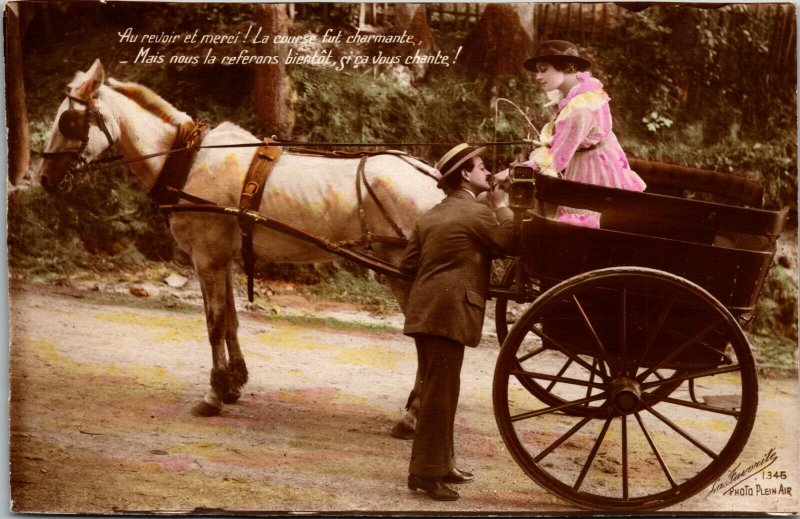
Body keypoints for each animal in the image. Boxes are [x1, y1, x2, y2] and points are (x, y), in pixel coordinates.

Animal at [37, 59, 440, 420]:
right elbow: (230, 319)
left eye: (68, 120)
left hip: (403, 272)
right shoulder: (224, 257)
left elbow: (214, 323)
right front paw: (234, 383)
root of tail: (434, 178)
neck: (187, 161)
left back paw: (414, 414)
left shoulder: (206, 257)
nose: (44, 177)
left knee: (425, 338)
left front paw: (214, 393)